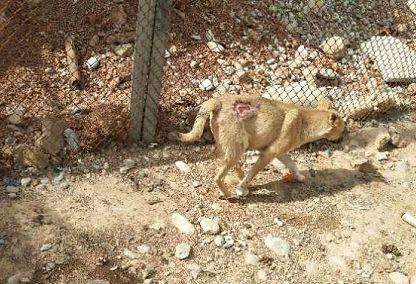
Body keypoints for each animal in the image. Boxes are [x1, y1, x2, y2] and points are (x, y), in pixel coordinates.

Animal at [168, 95, 344, 200]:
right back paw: (231, 195)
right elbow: (253, 173)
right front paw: (241, 188)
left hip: (232, 148)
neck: (304, 121)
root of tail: (218, 99)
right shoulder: (268, 154)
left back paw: (240, 181)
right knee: (218, 177)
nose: (342, 138)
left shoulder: (279, 153)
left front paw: (299, 177)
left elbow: (293, 164)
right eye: (343, 128)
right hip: (236, 149)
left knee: (234, 167)